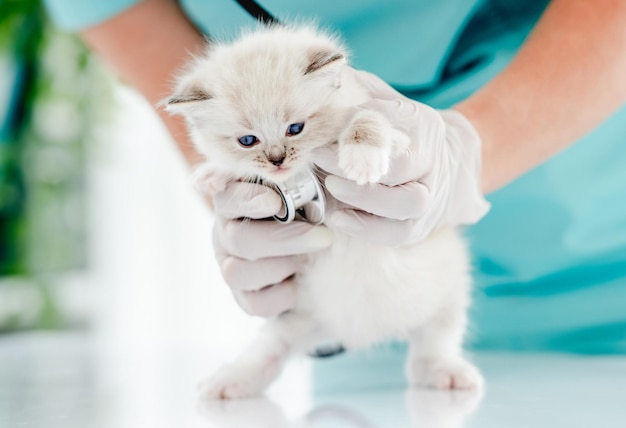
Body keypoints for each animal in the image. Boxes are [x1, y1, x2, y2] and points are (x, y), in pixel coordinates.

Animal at [163, 25, 480, 400]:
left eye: (295, 128)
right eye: (247, 140)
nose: (277, 160)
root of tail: (359, 332)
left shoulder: (398, 136)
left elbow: (367, 119)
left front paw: (360, 160)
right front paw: (212, 175)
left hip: (448, 296)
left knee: (433, 345)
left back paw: (446, 373)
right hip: (292, 321)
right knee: (268, 354)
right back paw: (229, 381)